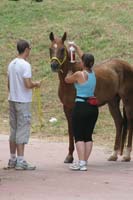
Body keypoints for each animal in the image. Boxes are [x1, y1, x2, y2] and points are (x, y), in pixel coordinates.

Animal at [49, 31, 133, 162]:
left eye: (62, 49)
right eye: (50, 49)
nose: (54, 65)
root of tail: (127, 65)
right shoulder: (67, 108)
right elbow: (70, 130)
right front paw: (69, 156)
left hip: (127, 100)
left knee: (129, 121)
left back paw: (127, 155)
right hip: (113, 101)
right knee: (119, 122)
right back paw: (114, 154)